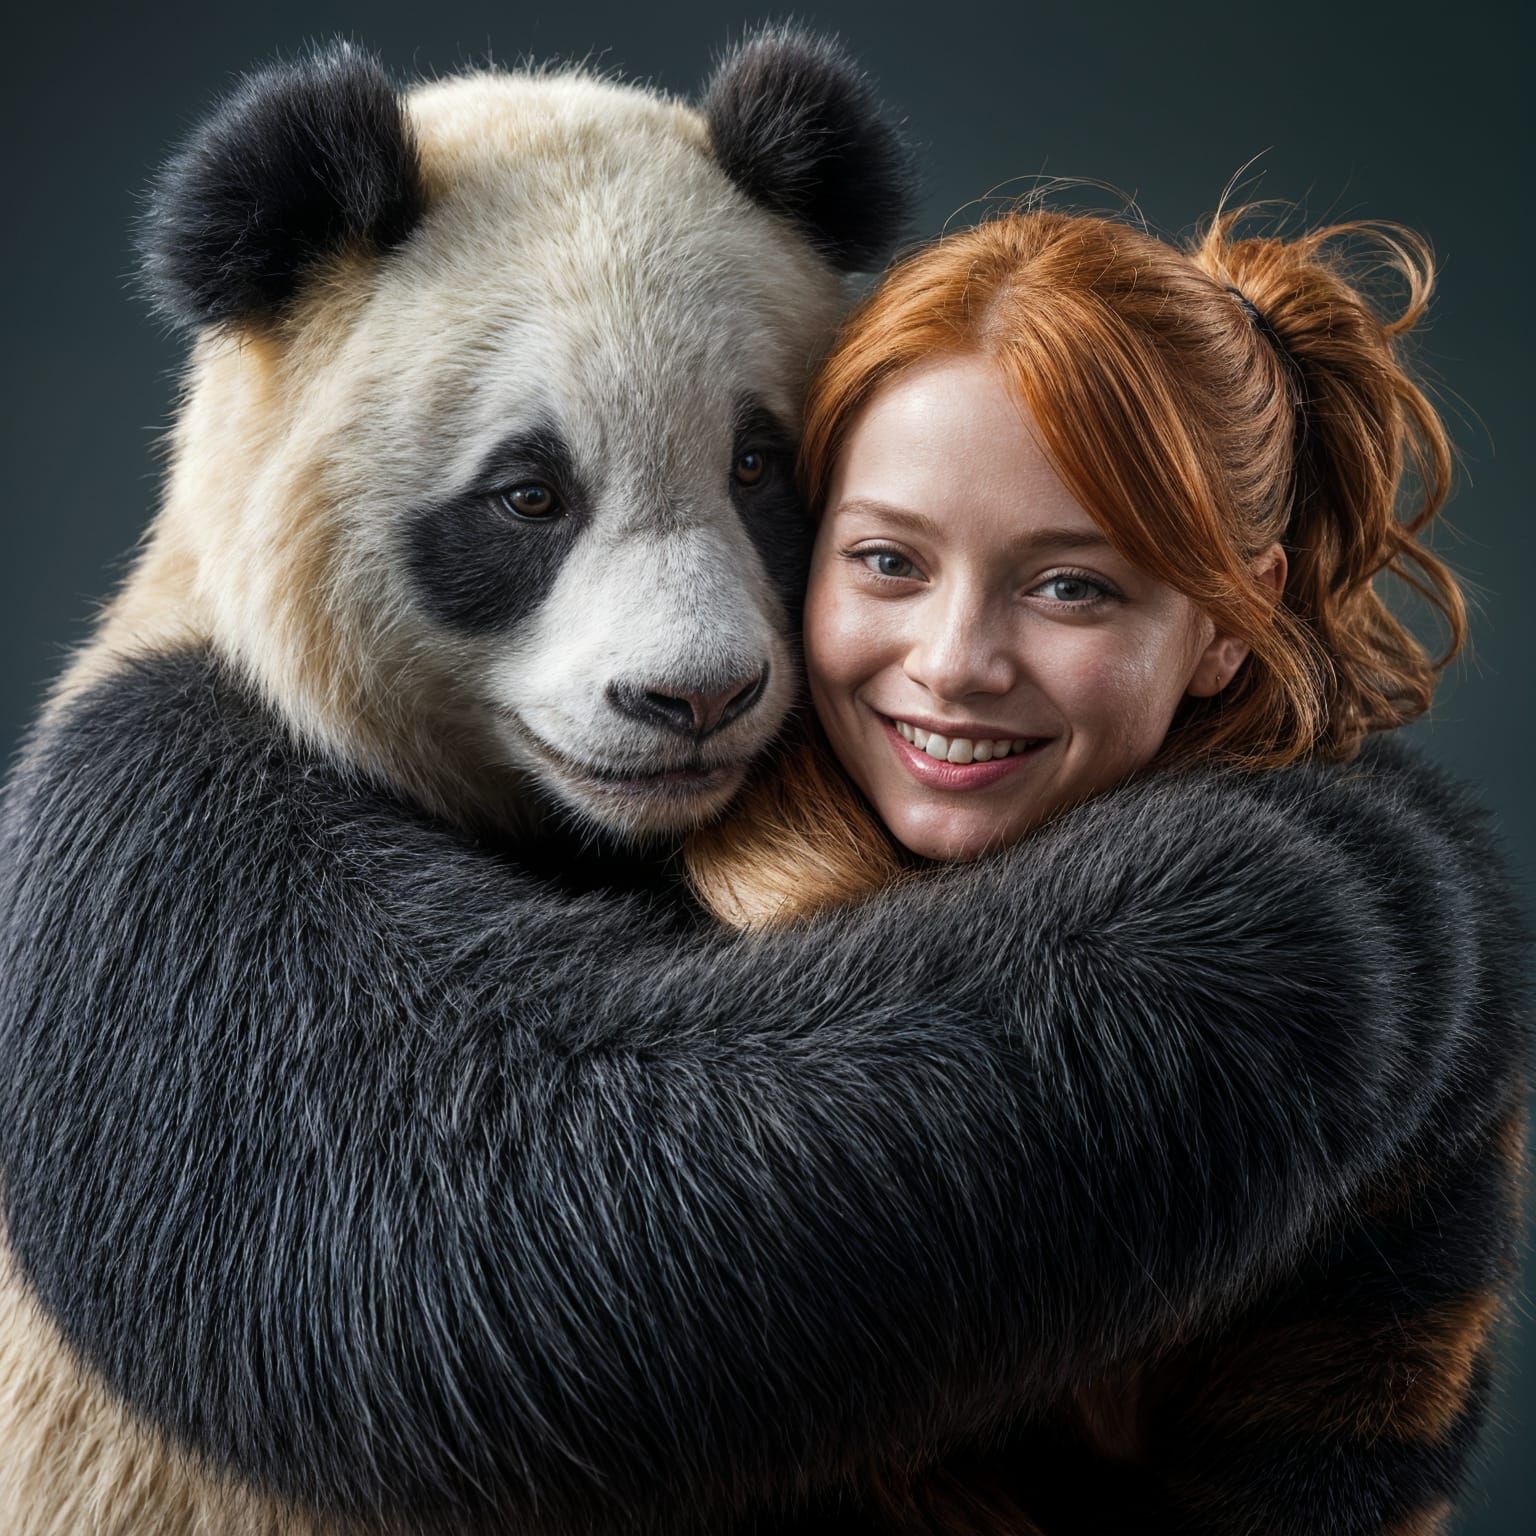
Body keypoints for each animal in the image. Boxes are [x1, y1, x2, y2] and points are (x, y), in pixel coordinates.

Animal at [1, 26, 1529, 1536]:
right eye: (529, 495)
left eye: (756, 464)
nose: (693, 698)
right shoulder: (160, 867)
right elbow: (529, 1185)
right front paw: (1337, 887)